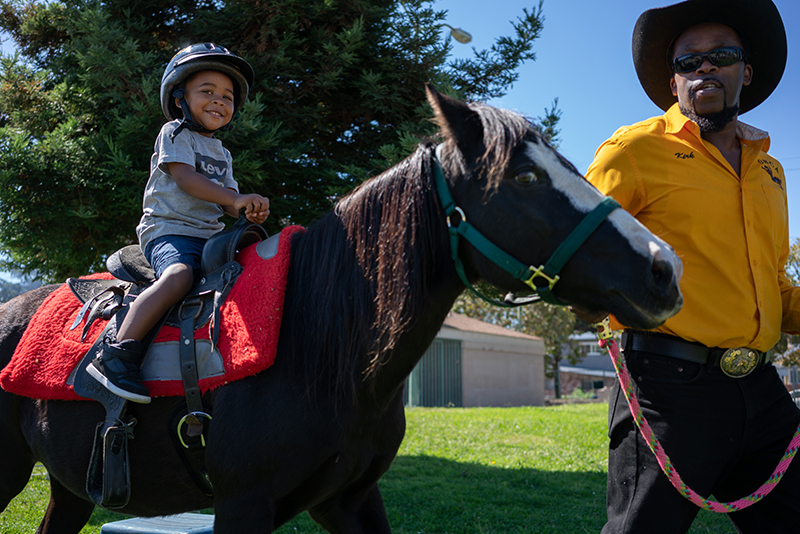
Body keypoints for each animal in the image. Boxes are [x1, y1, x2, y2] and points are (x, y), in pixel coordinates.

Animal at [0, 86, 680, 532]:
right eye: (527, 179)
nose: (664, 268)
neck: (320, 346)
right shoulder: (242, 504)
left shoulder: (350, 500)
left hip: (68, 488)